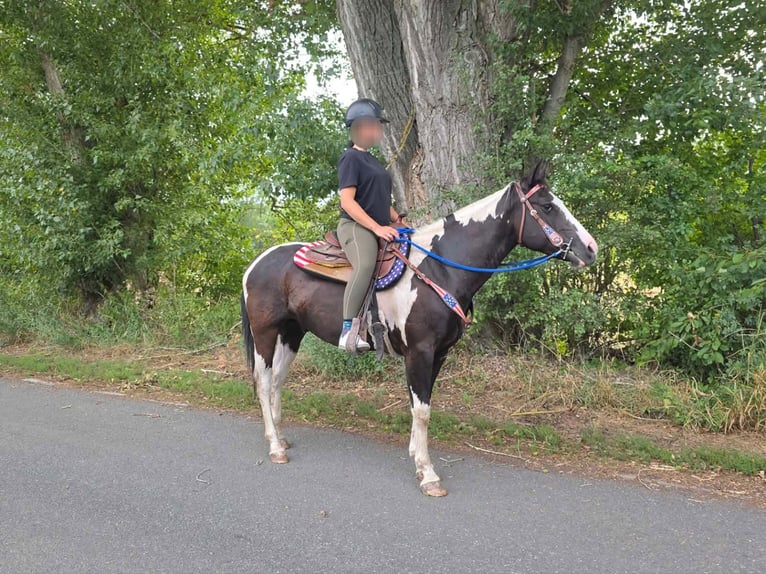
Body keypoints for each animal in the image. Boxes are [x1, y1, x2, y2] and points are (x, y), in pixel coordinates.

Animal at [241, 160, 598, 496]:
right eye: (548, 206)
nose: (591, 248)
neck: (440, 268)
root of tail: (256, 263)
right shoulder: (420, 352)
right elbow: (423, 410)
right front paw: (428, 474)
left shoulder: (439, 354)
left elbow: (418, 406)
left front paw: (416, 455)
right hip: (265, 333)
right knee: (263, 381)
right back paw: (275, 447)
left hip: (292, 333)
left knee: (277, 380)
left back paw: (281, 437)